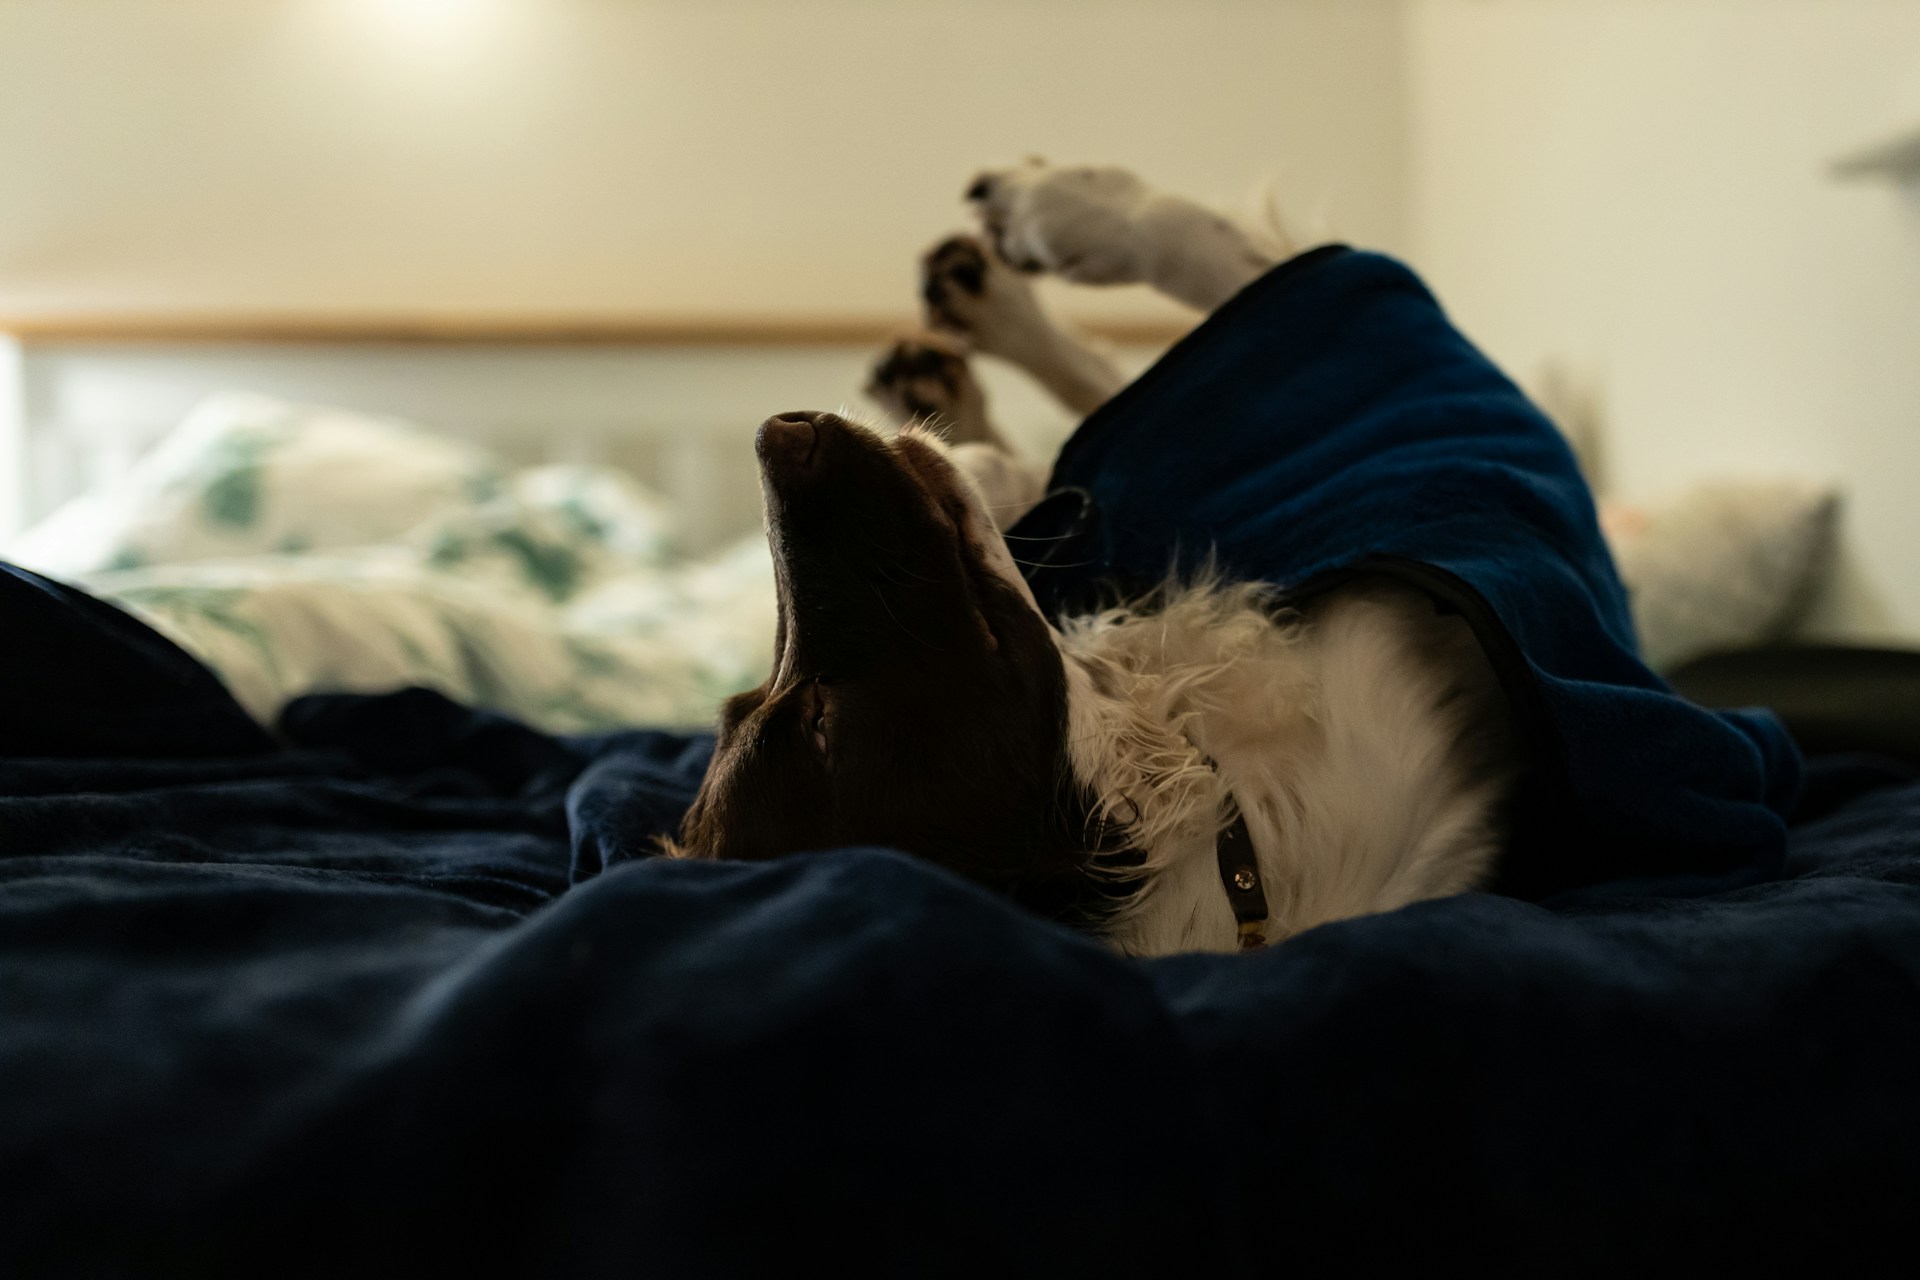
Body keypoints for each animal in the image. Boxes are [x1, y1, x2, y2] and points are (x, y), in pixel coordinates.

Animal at [668, 160, 1520, 955]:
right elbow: (1211, 246)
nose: (778, 434)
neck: (1228, 831)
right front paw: (1058, 211)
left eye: (743, 702)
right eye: (821, 721)